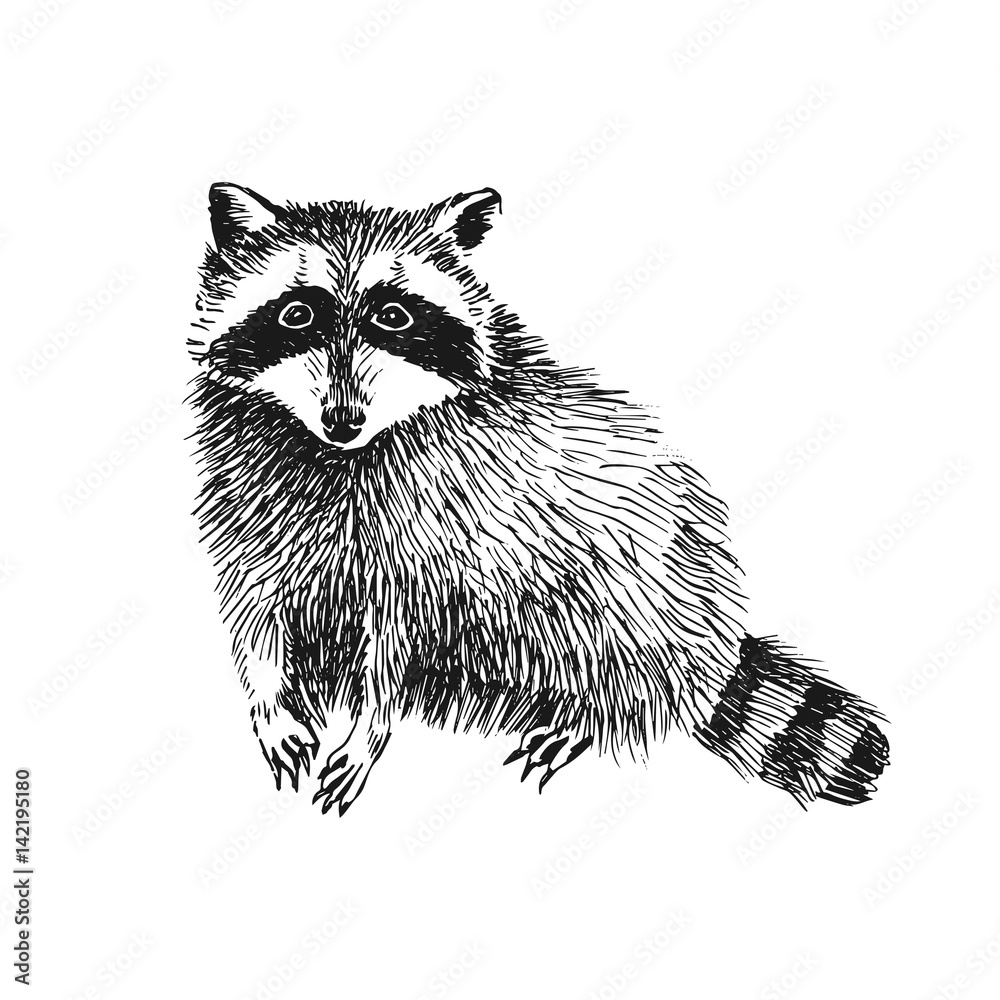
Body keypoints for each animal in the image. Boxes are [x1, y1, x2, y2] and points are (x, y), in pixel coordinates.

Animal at [188, 183, 889, 815]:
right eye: (297, 314)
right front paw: (270, 701)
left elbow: (395, 645)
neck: (337, 456)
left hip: (627, 577)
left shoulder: (436, 532)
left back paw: (587, 714)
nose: (341, 419)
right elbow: (255, 609)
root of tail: (709, 649)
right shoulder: (255, 500)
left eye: (394, 316)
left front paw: (369, 728)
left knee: (605, 641)